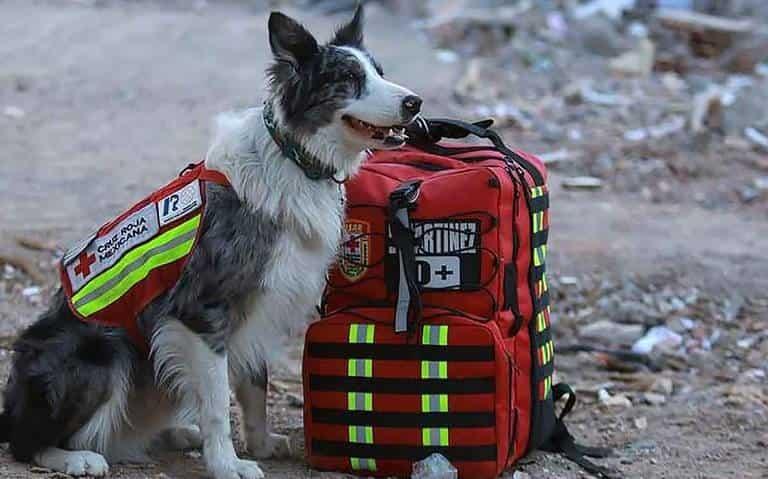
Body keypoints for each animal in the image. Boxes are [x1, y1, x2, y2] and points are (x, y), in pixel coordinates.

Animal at [0, 8, 420, 479]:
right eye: (348, 77)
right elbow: (218, 402)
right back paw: (74, 457)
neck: (294, 157)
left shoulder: (260, 306)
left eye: (379, 72)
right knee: (26, 441)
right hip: (100, 349)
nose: (415, 103)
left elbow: (255, 385)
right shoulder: (202, 310)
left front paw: (260, 443)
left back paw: (175, 434)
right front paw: (226, 463)